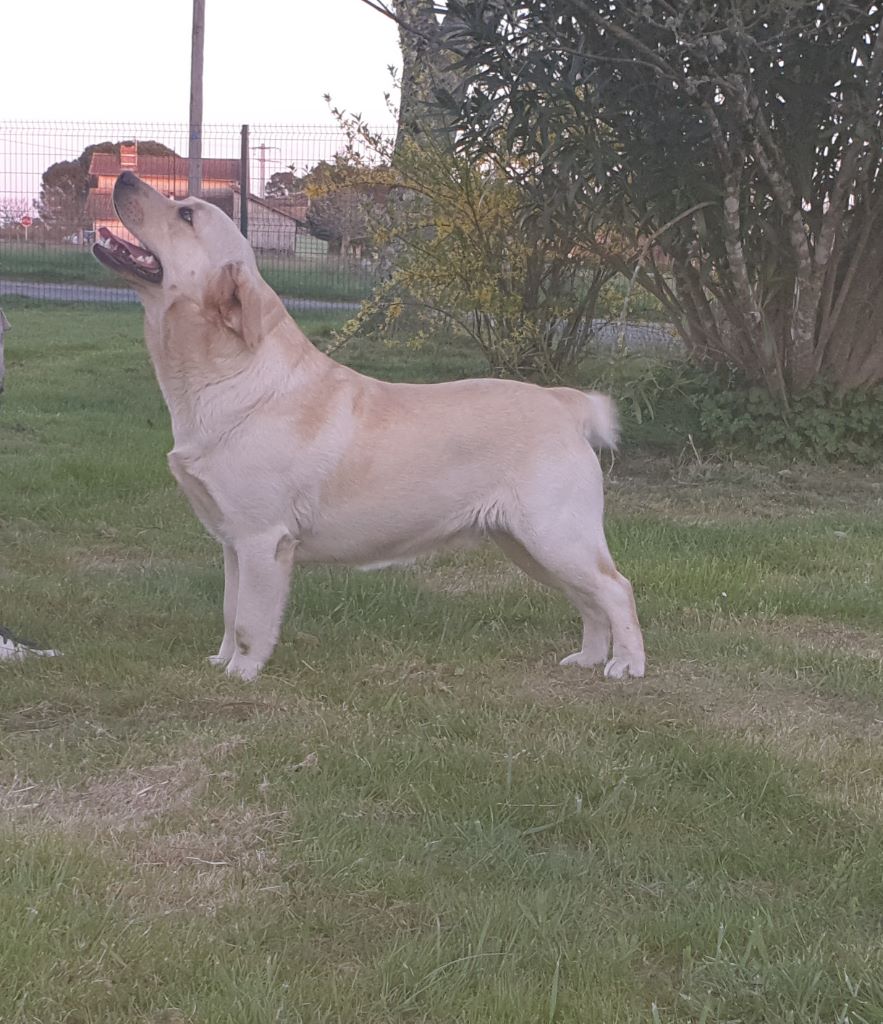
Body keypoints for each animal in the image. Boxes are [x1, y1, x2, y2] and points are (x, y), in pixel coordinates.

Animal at [93, 172, 645, 681]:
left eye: (186, 215)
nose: (123, 177)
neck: (227, 377)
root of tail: (564, 402)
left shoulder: (262, 539)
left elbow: (249, 620)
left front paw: (242, 672)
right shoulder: (233, 542)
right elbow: (230, 613)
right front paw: (221, 661)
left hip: (556, 534)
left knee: (617, 588)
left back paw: (626, 665)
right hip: (529, 545)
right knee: (590, 599)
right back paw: (588, 658)